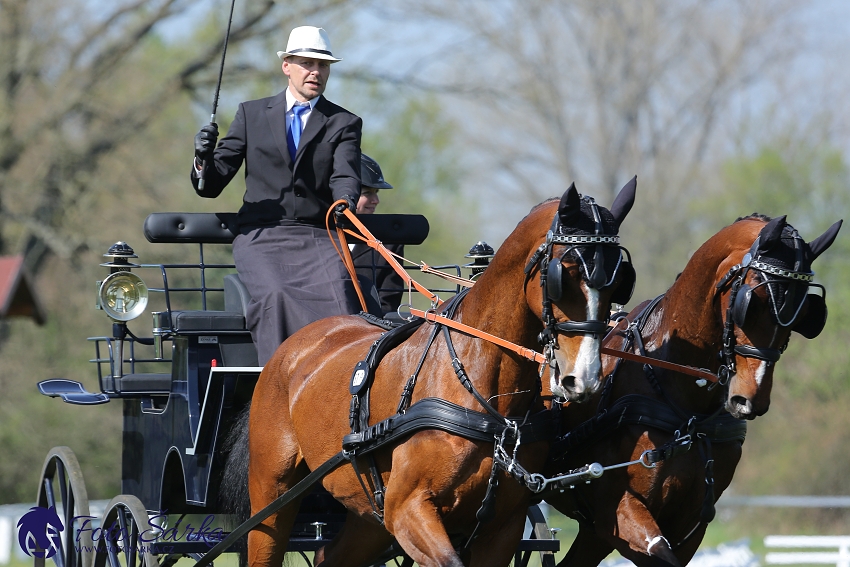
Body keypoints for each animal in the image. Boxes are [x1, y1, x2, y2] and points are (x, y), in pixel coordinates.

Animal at [229, 181, 640, 567]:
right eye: (564, 274)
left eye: (621, 280)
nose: (583, 377)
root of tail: (294, 345)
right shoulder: (409, 509)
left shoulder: (501, 529)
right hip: (272, 495)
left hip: (367, 515)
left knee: (329, 555)